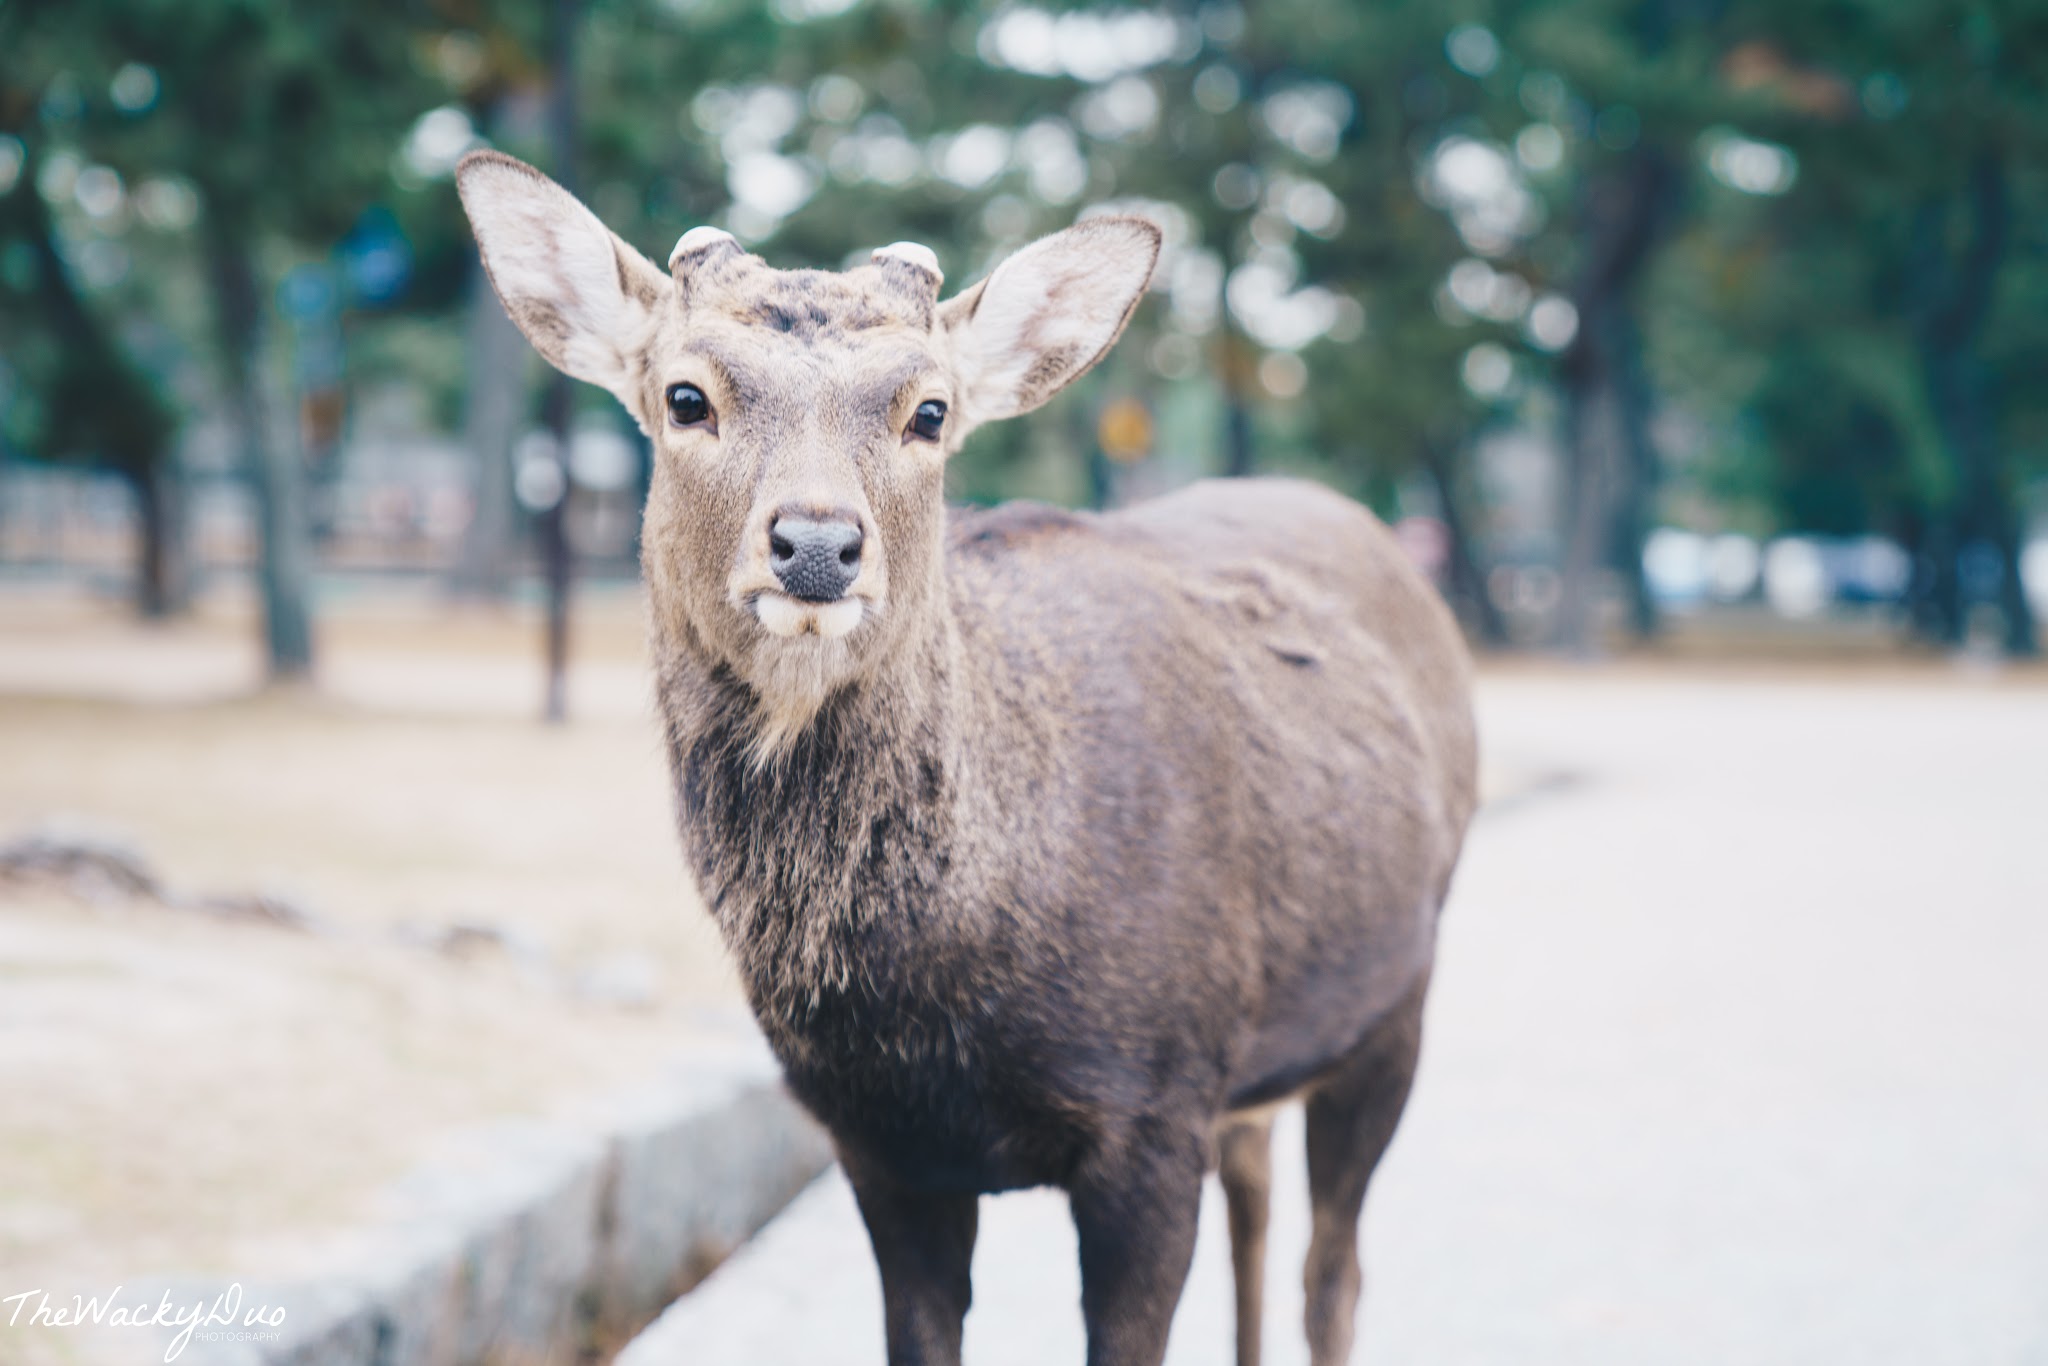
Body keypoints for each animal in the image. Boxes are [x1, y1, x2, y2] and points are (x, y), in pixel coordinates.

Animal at [458, 149, 1482, 1366]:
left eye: (930, 410)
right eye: (685, 396)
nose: (817, 544)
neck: (936, 1016)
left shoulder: (1155, 1102)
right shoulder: (875, 1146)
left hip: (1398, 997)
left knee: (1333, 1267)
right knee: (1260, 1200)